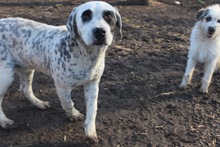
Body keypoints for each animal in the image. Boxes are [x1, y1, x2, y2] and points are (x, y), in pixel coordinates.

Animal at [0, 0, 122, 142]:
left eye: (108, 15)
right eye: (85, 16)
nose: (99, 31)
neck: (86, 54)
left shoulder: (93, 84)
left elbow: (92, 110)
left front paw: (90, 131)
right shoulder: (62, 87)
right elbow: (68, 103)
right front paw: (73, 114)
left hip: (27, 68)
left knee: (25, 89)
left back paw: (39, 104)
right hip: (5, 76)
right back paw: (5, 122)